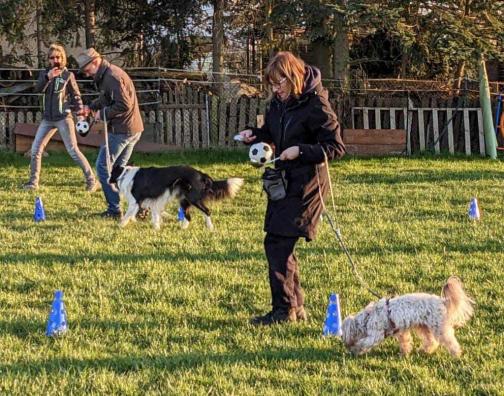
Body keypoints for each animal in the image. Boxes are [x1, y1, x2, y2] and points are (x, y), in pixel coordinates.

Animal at [340, 276, 474, 358]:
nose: (342, 341)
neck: (368, 317)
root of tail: (442, 301)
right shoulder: (401, 332)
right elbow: (405, 342)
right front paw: (404, 353)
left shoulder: (375, 335)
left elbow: (364, 343)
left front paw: (355, 350)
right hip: (424, 327)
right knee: (431, 341)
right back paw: (426, 350)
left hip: (439, 328)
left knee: (450, 341)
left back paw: (456, 354)